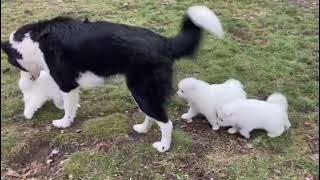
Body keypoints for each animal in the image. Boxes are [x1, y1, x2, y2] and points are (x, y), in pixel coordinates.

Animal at [1, 5, 224, 152]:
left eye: (13, 62)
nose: (25, 80)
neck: (33, 42)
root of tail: (164, 42)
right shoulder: (70, 85)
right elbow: (69, 103)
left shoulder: (66, 83)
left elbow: (68, 108)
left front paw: (64, 123)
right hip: (143, 92)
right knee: (154, 114)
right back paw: (143, 129)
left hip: (141, 90)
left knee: (165, 121)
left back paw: (163, 146)